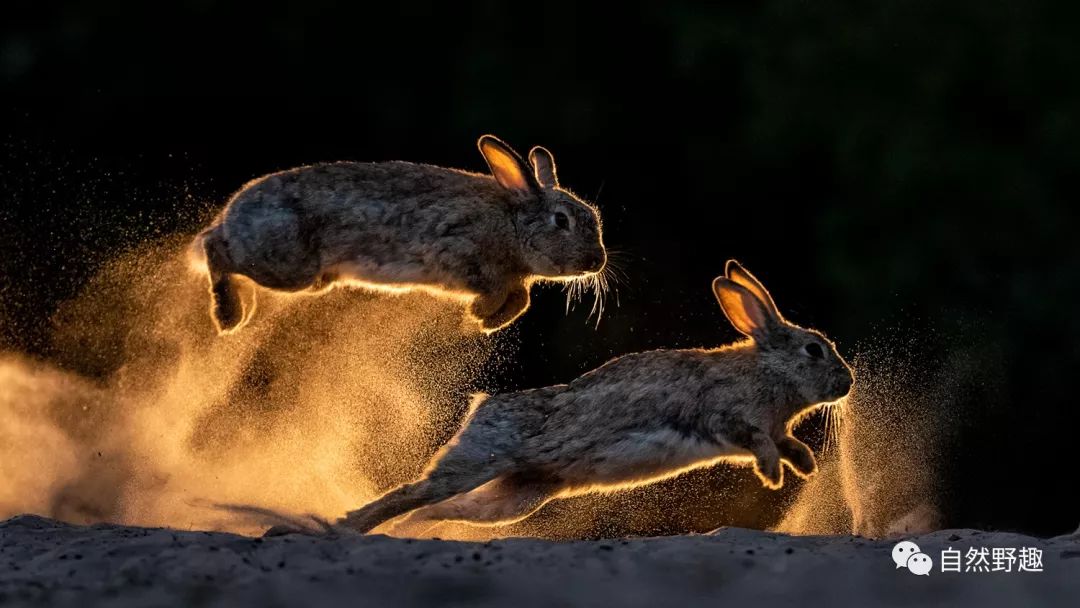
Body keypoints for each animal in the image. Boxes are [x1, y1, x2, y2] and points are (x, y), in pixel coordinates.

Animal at [190, 134, 604, 332]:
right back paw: (227, 316)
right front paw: (479, 315)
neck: (513, 224)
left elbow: (521, 301)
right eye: (561, 221)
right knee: (216, 250)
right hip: (288, 265)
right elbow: (505, 293)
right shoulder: (461, 252)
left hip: (310, 279)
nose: (597, 262)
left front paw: (485, 323)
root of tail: (229, 214)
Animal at [336, 261, 851, 533]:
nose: (845, 383)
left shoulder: (774, 427)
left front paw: (805, 467)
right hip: (478, 461)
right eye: (813, 349)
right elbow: (757, 441)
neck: (766, 370)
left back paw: (410, 530)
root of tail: (481, 406)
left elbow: (784, 442)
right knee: (416, 491)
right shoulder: (729, 416)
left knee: (447, 508)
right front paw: (773, 477)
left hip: (521, 495)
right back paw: (350, 526)